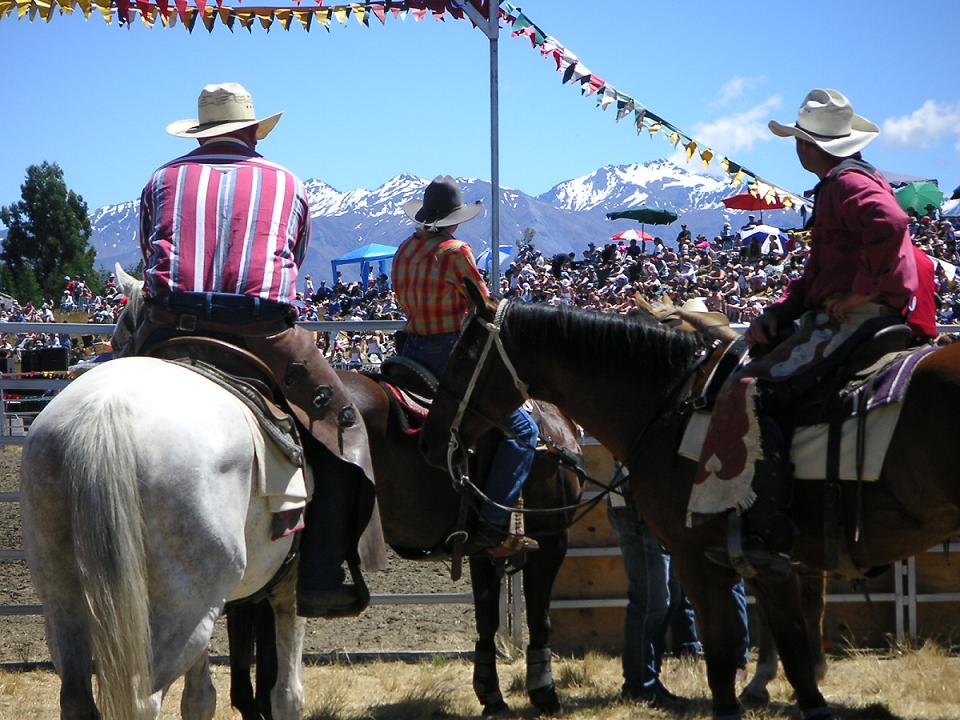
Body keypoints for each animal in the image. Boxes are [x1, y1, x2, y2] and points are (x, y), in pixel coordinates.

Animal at [21, 268, 308, 716]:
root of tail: (104, 411)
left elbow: (200, 697)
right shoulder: (289, 586)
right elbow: (286, 695)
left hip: (61, 594)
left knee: (77, 696)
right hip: (186, 605)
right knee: (143, 699)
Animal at [228, 368, 580, 716]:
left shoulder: (484, 548)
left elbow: (487, 619)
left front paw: (491, 694)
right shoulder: (551, 537)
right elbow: (539, 615)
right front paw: (544, 693)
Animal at [418, 282, 960, 720]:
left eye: (464, 354)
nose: (430, 437)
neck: (671, 406)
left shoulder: (704, 558)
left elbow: (734, 654)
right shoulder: (761, 562)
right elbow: (791, 650)